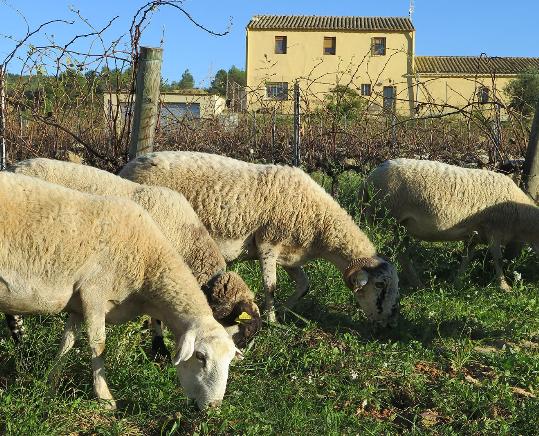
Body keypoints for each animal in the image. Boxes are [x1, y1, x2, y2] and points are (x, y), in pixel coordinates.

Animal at [0, 172, 238, 410]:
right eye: (200, 356)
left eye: (229, 360)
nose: (214, 406)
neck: (147, 263)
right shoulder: (94, 293)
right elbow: (99, 346)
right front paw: (106, 400)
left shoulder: (78, 304)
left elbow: (67, 342)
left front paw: (50, 384)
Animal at [8, 158, 262, 350]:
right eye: (241, 330)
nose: (237, 359)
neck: (188, 240)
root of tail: (14, 166)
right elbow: (157, 316)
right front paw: (158, 348)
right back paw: (19, 336)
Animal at [119, 152, 400, 326]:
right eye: (380, 285)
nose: (390, 321)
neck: (320, 223)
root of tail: (129, 166)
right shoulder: (268, 243)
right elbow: (270, 285)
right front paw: (272, 319)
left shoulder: (290, 256)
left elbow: (304, 285)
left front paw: (285, 311)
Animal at [362, 158, 539, 292]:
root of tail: (369, 177)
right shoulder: (493, 229)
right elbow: (498, 258)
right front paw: (504, 286)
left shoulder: (474, 235)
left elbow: (467, 257)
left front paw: (457, 282)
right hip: (385, 217)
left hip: (401, 225)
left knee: (401, 252)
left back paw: (416, 283)